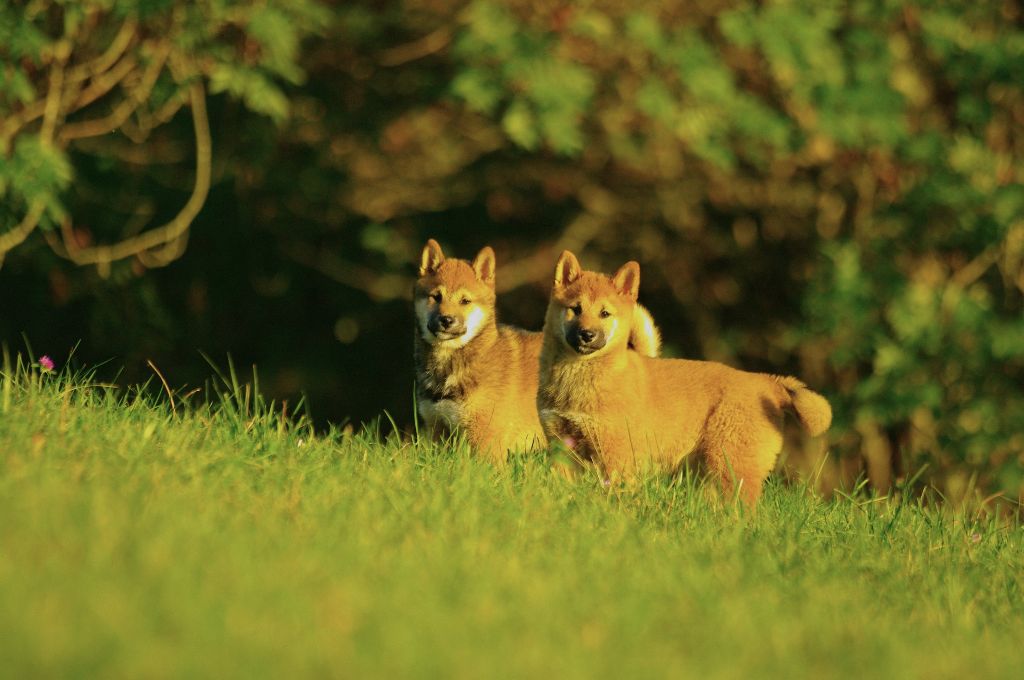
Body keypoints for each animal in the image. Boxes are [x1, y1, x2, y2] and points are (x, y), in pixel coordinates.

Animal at [536, 249, 831, 503]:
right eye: (575, 309)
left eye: (605, 313)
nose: (586, 334)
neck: (578, 383)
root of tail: (768, 382)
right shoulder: (561, 447)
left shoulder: (615, 456)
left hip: (731, 469)